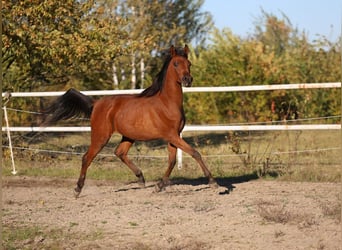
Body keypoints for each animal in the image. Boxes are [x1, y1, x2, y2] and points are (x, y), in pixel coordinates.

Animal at [42, 45, 216, 197]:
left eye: (189, 63)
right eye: (175, 63)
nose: (187, 79)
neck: (167, 103)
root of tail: (96, 103)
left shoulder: (174, 136)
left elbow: (172, 161)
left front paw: (159, 186)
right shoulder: (171, 135)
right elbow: (195, 153)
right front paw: (212, 181)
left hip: (128, 136)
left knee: (119, 152)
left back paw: (141, 178)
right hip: (101, 136)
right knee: (87, 157)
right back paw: (77, 189)